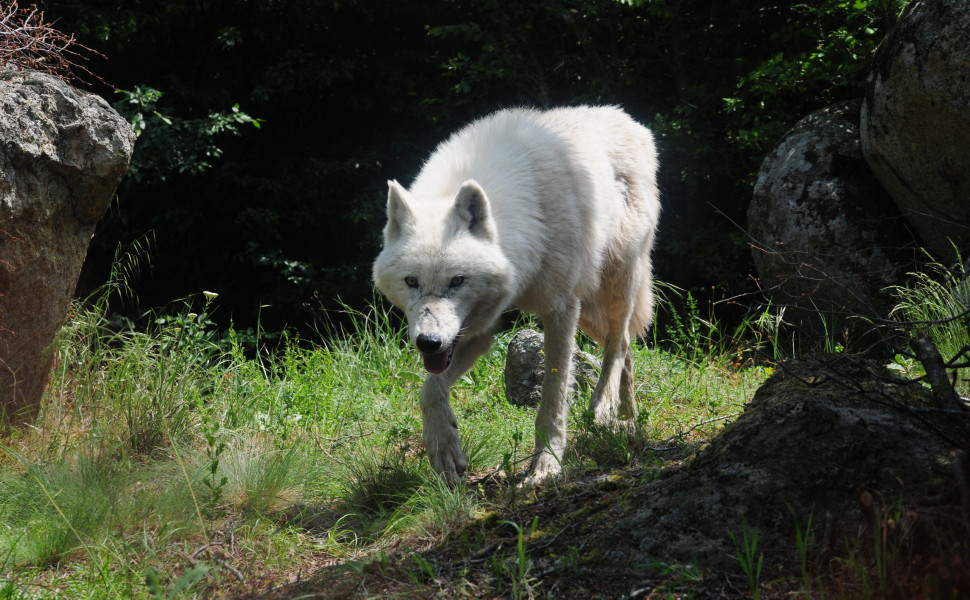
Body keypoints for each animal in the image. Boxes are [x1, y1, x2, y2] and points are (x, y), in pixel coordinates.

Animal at [370, 106, 656, 482]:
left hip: (612, 283)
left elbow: (553, 398)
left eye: (457, 281)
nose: (428, 343)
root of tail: (627, 119)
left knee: (619, 342)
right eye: (411, 282)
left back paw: (603, 408)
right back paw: (628, 418)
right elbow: (429, 389)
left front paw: (546, 465)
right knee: (626, 346)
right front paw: (444, 448)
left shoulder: (561, 309)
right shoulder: (478, 330)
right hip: (591, 309)